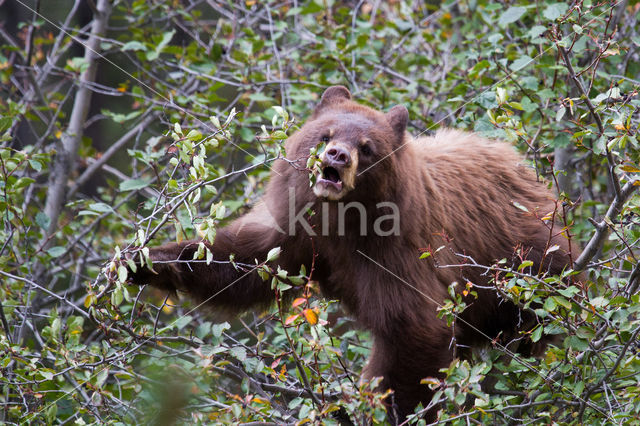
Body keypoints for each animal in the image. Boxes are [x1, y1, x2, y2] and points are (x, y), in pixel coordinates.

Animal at [129, 85, 576, 422]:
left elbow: (416, 327)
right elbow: (245, 261)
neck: (340, 219)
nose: (337, 157)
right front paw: (142, 260)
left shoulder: (395, 252)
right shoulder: (296, 228)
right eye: (324, 135)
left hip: (535, 266)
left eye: (367, 146)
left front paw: (390, 412)